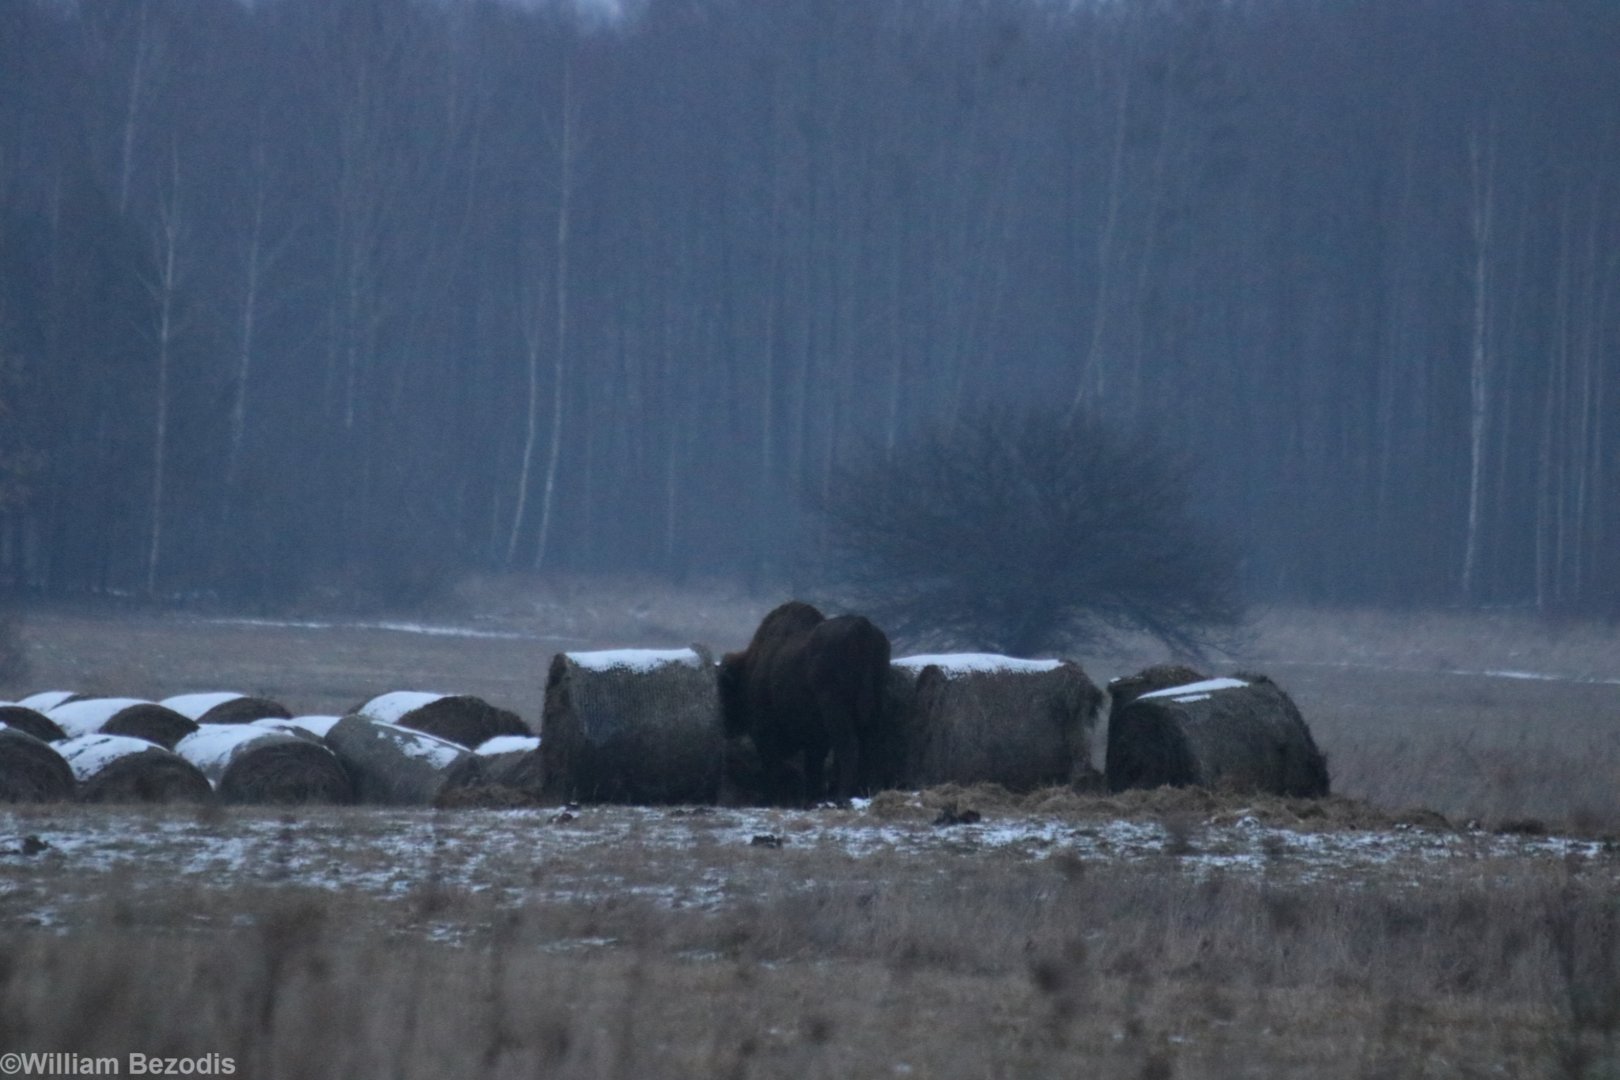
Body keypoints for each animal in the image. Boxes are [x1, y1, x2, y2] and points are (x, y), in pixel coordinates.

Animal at [719, 600, 894, 805]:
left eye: (724, 690)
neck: (750, 668)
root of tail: (862, 627)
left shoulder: (764, 733)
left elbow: (774, 766)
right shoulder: (814, 739)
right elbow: (812, 767)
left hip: (834, 707)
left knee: (848, 746)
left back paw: (841, 795)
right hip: (875, 704)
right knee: (873, 745)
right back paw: (872, 790)